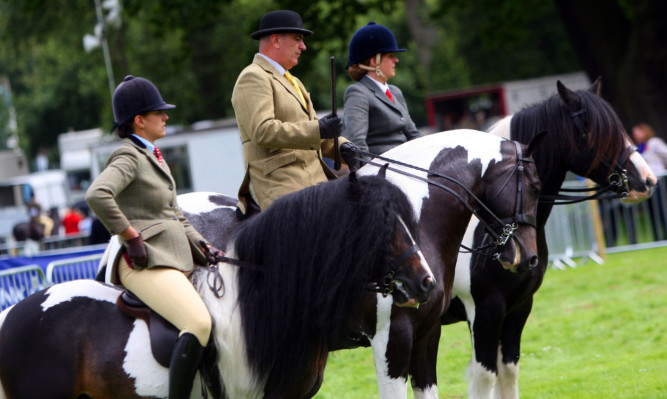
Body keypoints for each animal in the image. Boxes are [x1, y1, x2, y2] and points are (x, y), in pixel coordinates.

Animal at [440, 79, 656, 398]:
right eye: (589, 131)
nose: (647, 181)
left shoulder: (518, 308)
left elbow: (508, 372)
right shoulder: (484, 311)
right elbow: (485, 378)